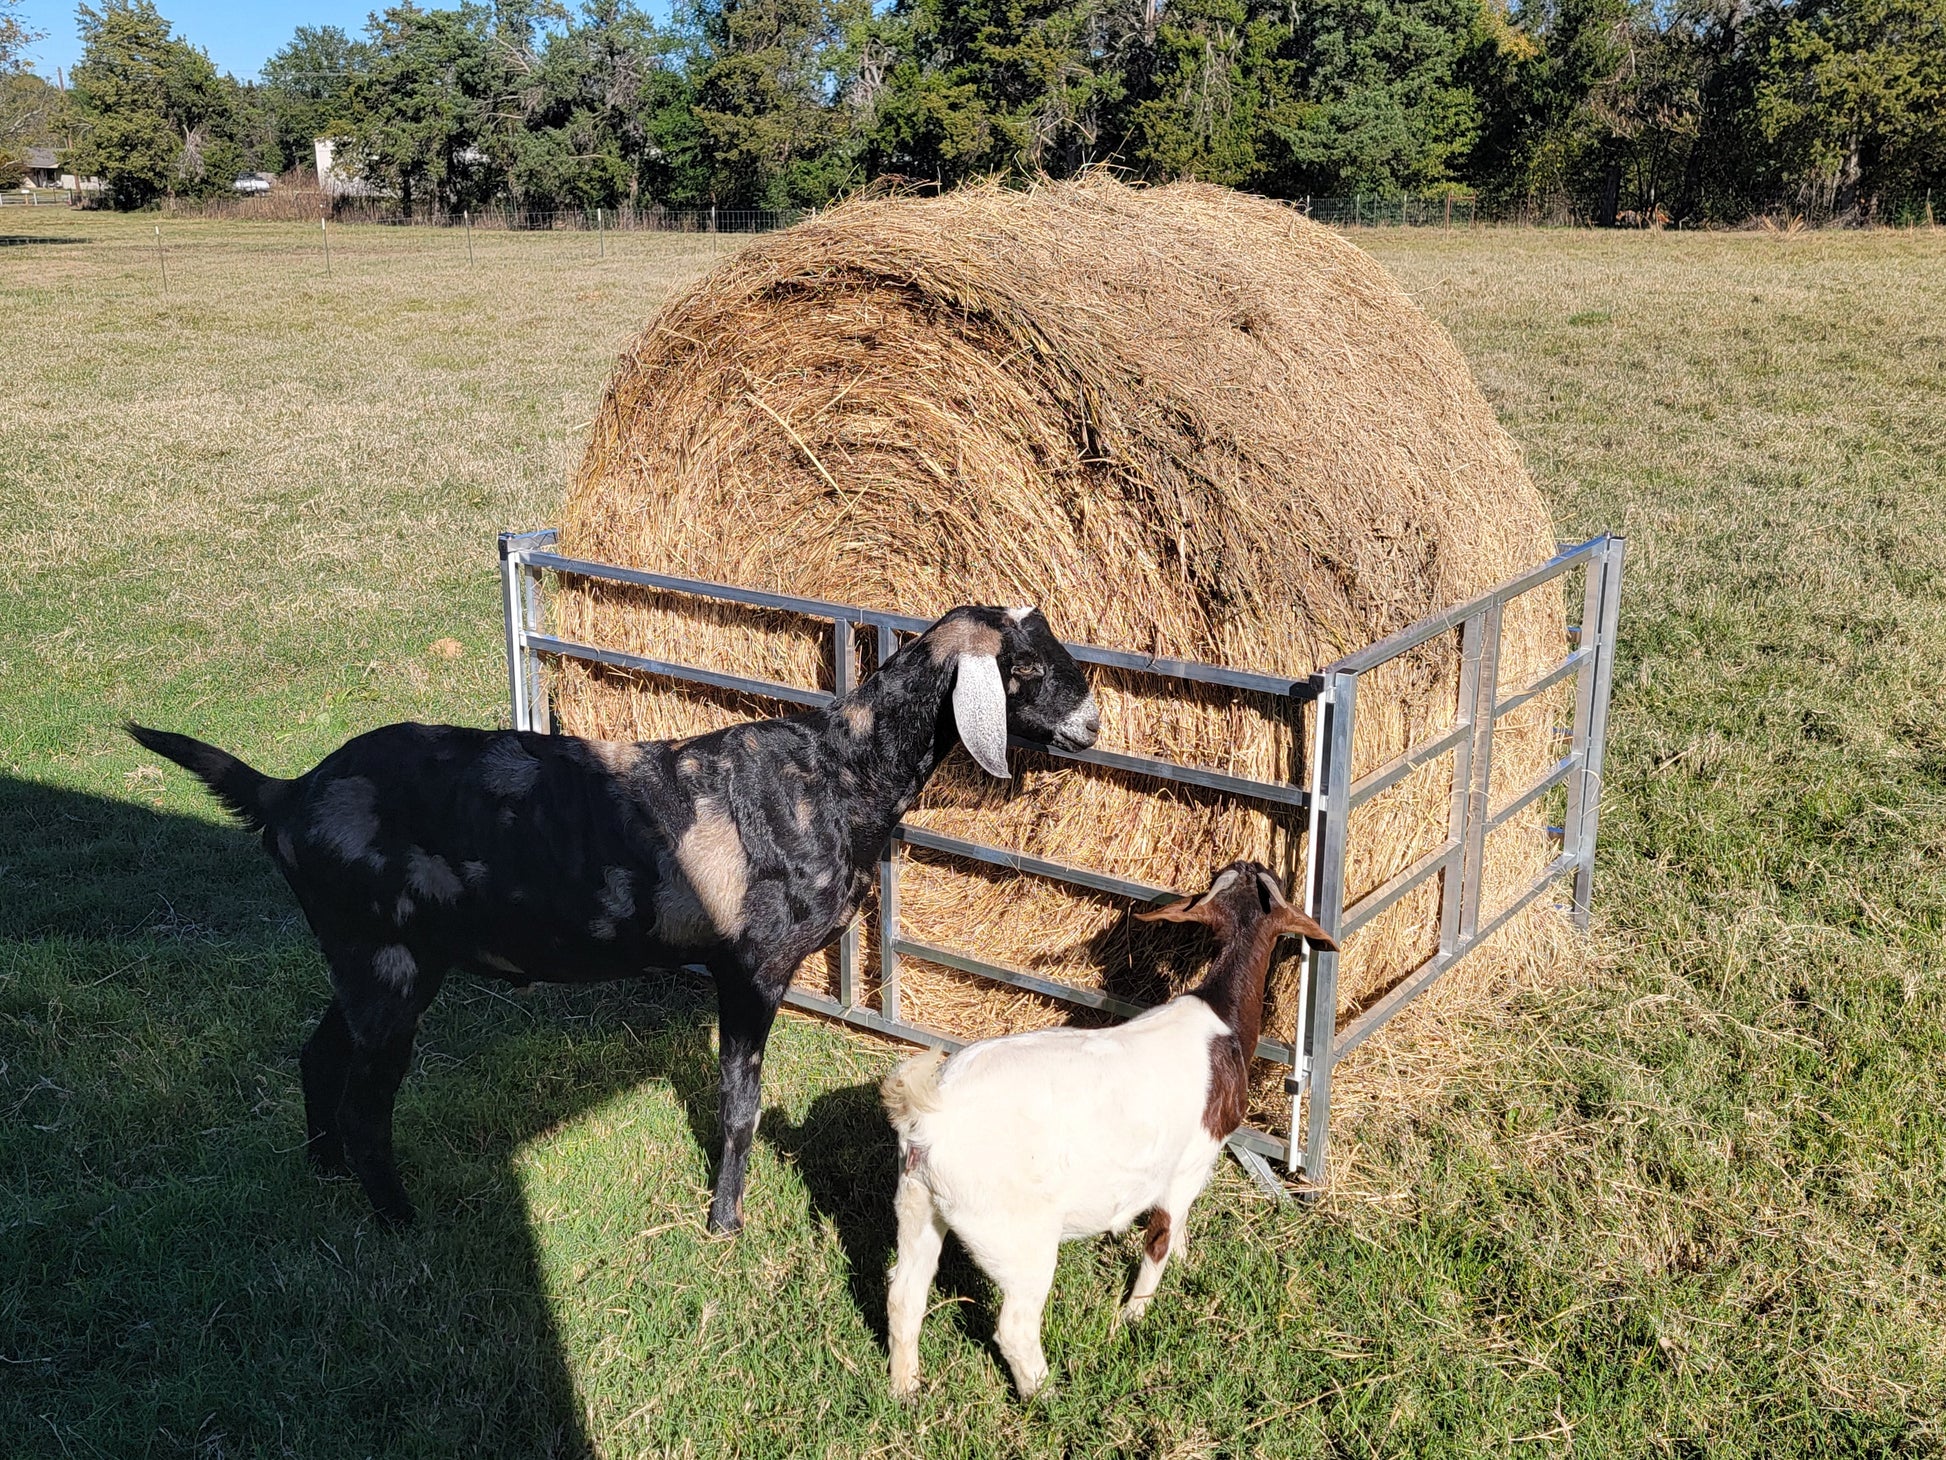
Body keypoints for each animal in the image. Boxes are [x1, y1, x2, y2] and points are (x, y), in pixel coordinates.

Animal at [126, 604, 1098, 1234]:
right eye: (1024, 668)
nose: (1093, 723)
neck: (838, 774)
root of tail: (286, 796)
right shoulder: (753, 967)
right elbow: (739, 1104)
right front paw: (725, 1223)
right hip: (384, 961)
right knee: (369, 1101)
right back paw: (400, 1220)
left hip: (369, 959)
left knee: (318, 1054)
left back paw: (324, 1170)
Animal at [880, 859, 1334, 1399]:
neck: (1219, 1017)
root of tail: (929, 1115)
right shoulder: (1190, 1162)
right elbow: (1159, 1236)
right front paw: (1135, 1313)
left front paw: (1183, 1261)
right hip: (1014, 1232)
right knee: (1015, 1325)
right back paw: (1047, 1395)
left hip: (917, 1202)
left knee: (903, 1295)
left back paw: (905, 1389)